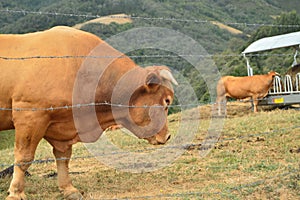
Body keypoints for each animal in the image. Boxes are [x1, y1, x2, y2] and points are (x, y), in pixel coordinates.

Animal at [0, 26, 177, 200]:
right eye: (167, 101)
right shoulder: (30, 116)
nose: (168, 136)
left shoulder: (62, 127)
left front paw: (69, 189)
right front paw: (16, 192)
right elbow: (24, 158)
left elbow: (63, 157)